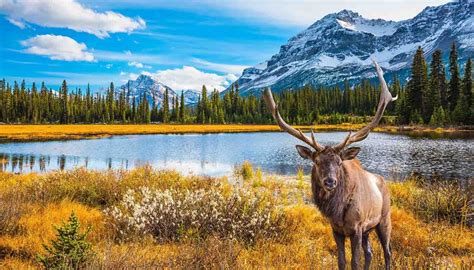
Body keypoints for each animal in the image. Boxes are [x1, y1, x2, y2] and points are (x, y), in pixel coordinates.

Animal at [264, 61, 398, 270]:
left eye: (339, 162)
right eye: (317, 162)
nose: (330, 182)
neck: (338, 211)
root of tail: (383, 181)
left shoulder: (357, 227)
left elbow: (354, 262)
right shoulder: (336, 230)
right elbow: (341, 261)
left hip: (384, 219)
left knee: (387, 251)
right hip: (368, 230)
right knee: (370, 252)